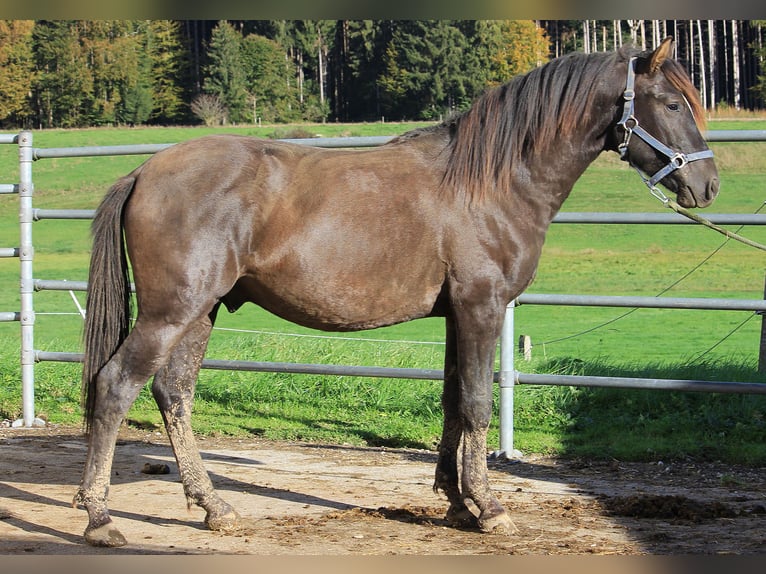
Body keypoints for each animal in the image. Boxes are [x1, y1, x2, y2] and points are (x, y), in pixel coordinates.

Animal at [72, 38, 720, 548]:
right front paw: (492, 509)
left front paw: (458, 504)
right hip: (171, 311)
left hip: (201, 311)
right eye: (671, 104)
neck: (492, 181)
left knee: (173, 394)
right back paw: (100, 517)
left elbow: (454, 402)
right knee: (116, 386)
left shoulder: (458, 315)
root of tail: (144, 172)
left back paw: (214, 508)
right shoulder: (482, 308)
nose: (708, 184)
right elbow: (478, 404)